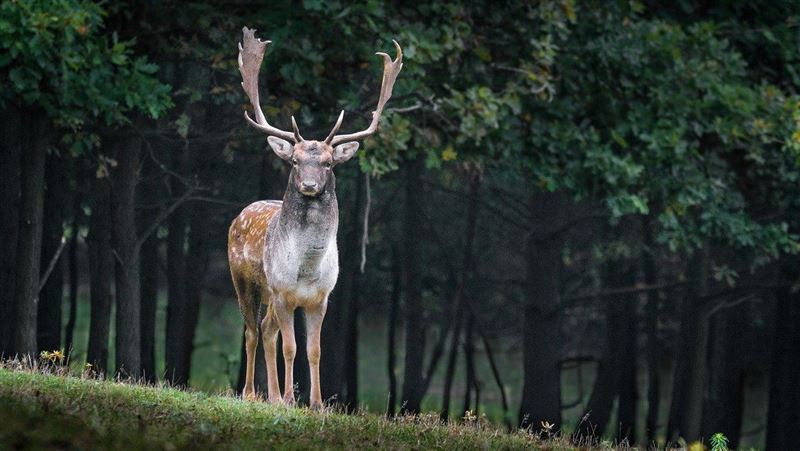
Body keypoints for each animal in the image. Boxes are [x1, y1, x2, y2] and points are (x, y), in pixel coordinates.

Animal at [227, 27, 402, 408]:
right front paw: (291, 400)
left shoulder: (321, 298)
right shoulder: (282, 292)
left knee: (266, 331)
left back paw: (272, 395)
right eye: (294, 160)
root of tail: (240, 214)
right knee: (251, 331)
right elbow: (291, 348)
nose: (309, 185)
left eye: (328, 163)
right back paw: (252, 393)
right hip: (244, 280)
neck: (306, 269)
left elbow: (314, 350)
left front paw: (317, 403)